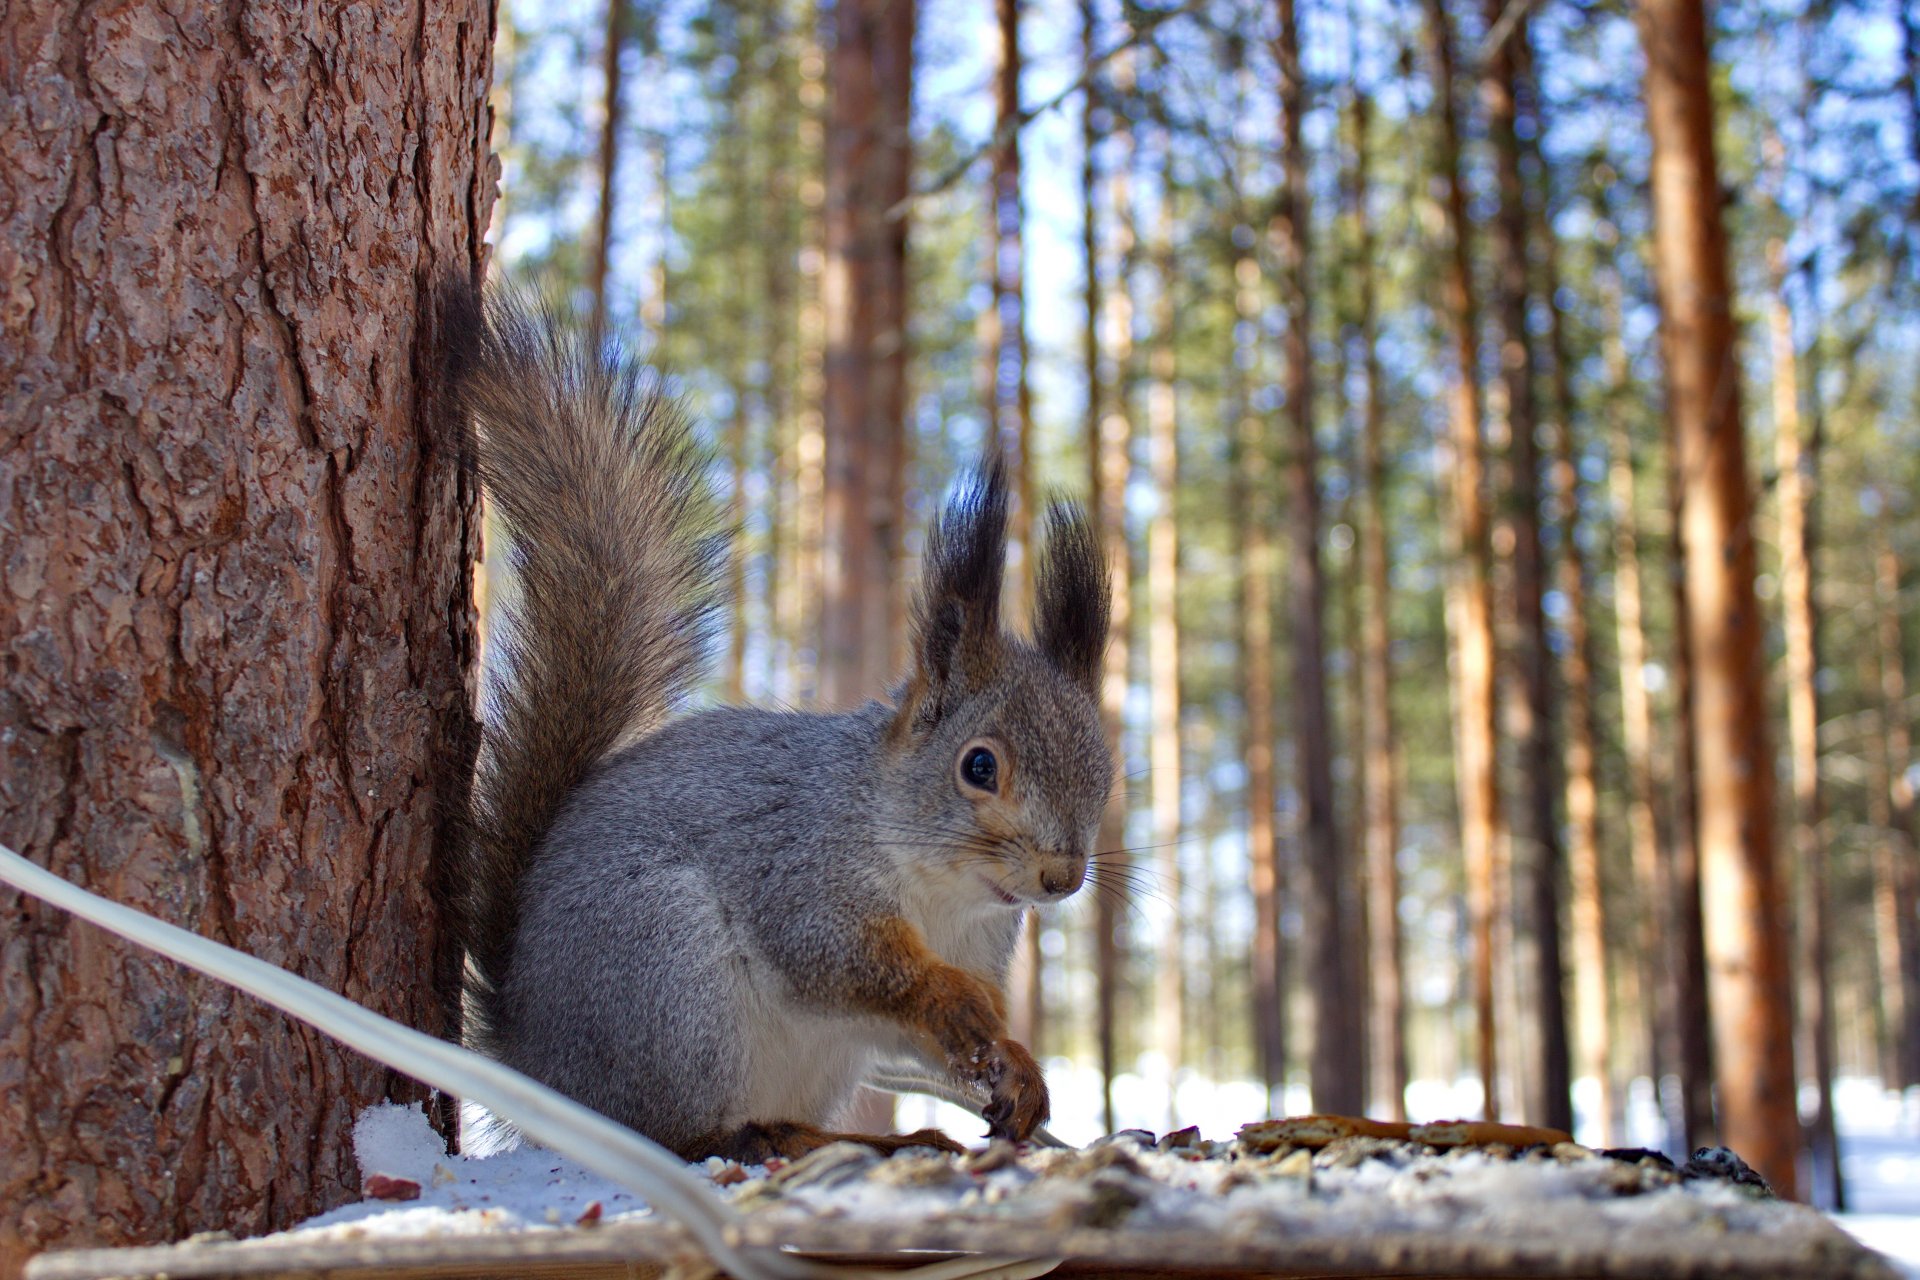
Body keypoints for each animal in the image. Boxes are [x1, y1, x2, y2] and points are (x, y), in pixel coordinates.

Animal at [445, 285, 1113, 1166]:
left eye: (1106, 775)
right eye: (978, 766)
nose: (1060, 878)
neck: (940, 890)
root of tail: (537, 1067)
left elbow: (913, 1033)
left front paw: (1016, 1066)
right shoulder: (795, 868)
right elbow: (843, 961)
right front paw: (953, 1000)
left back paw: (867, 1138)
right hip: (669, 974)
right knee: (668, 1132)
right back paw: (768, 1137)